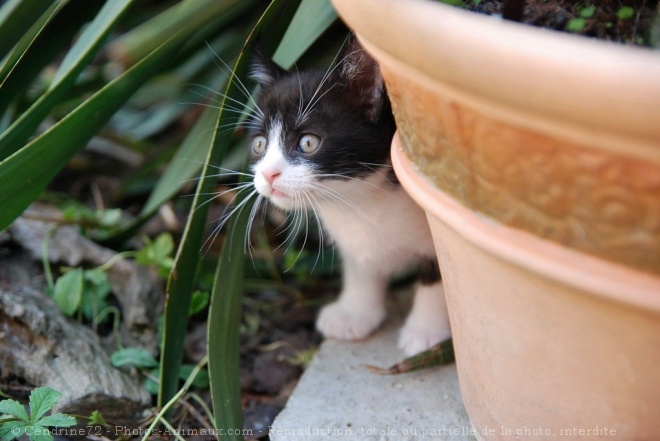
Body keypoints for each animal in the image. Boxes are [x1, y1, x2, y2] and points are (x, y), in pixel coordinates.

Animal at [245, 37, 452, 354]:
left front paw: (426, 333)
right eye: (259, 144)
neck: (361, 201)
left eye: (307, 142)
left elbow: (437, 278)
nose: (268, 174)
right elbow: (360, 265)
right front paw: (354, 314)